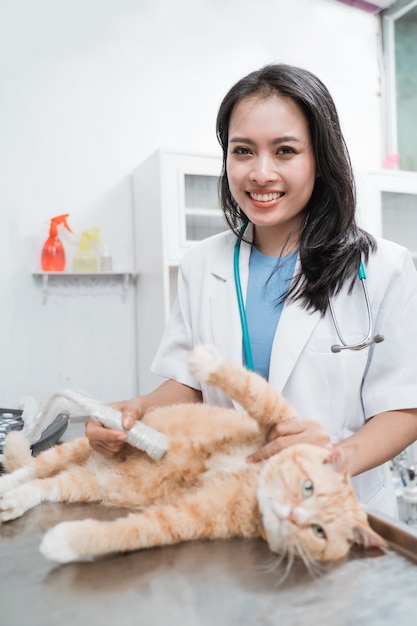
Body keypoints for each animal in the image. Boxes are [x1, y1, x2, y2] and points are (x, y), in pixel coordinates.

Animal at [0, 344, 384, 564]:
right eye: (308, 487)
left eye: (318, 532)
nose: (290, 515)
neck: (252, 480)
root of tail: (95, 463)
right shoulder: (280, 420)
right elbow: (253, 389)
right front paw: (206, 361)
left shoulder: (187, 518)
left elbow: (130, 532)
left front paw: (63, 543)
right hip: (79, 448)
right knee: (33, 468)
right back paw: (6, 487)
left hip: (89, 482)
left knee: (45, 486)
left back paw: (12, 502)